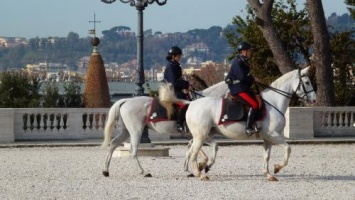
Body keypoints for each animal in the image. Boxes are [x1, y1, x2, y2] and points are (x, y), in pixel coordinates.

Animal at [161, 66, 318, 180]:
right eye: (307, 82)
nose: (314, 100)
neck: (274, 102)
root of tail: (191, 103)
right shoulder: (273, 135)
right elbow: (288, 148)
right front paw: (278, 167)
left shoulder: (267, 138)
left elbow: (266, 156)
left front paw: (268, 174)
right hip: (201, 135)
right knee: (193, 152)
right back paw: (200, 173)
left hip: (204, 134)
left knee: (197, 149)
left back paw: (199, 168)